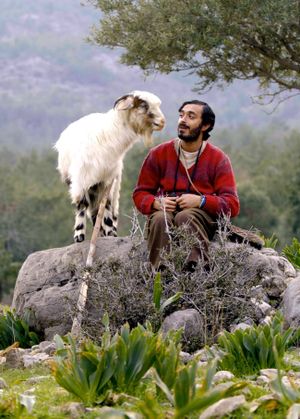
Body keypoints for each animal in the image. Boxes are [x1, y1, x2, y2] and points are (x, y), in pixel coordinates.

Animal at [55, 92, 165, 243]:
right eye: (143, 105)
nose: (162, 122)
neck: (107, 136)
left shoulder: (107, 179)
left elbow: (106, 205)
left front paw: (109, 232)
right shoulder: (81, 179)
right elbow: (82, 205)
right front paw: (79, 235)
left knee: (105, 208)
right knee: (91, 208)